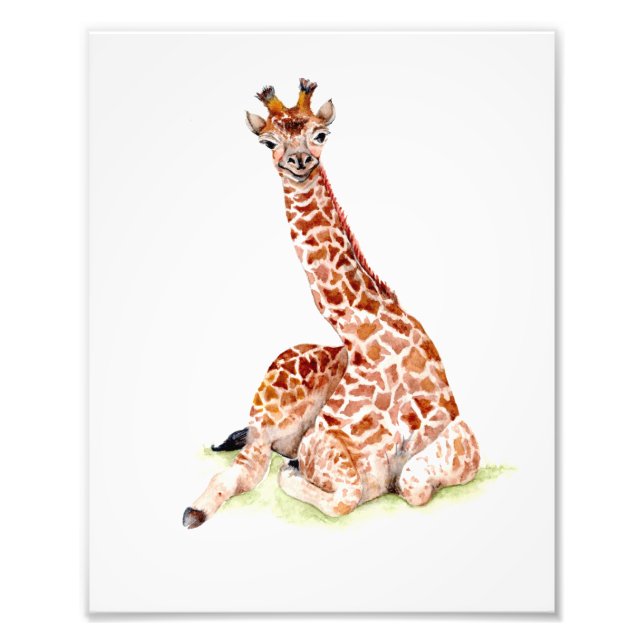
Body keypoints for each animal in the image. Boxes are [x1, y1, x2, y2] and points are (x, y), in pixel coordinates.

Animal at [182, 79, 480, 528]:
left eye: (320, 135)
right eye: (268, 141)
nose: (299, 160)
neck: (367, 332)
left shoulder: (462, 438)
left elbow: (411, 481)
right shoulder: (326, 450)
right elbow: (343, 496)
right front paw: (292, 475)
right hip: (268, 413)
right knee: (247, 468)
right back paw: (197, 508)